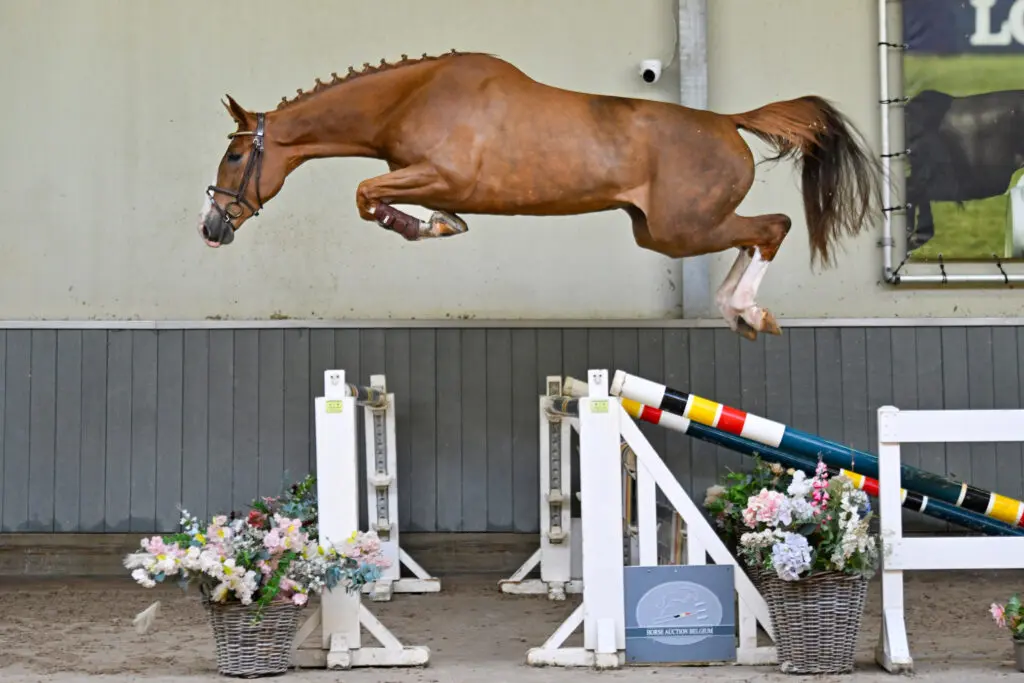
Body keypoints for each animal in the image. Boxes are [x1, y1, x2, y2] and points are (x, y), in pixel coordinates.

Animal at [199, 50, 882, 340]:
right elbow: (387, 197)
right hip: (658, 231)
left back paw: (746, 310)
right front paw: (443, 224)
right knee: (759, 231)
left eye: (234, 155)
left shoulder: (439, 173)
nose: (212, 227)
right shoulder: (430, 177)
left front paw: (427, 226)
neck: (410, 99)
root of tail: (729, 121)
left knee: (772, 227)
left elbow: (367, 195)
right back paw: (736, 311)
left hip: (680, 228)